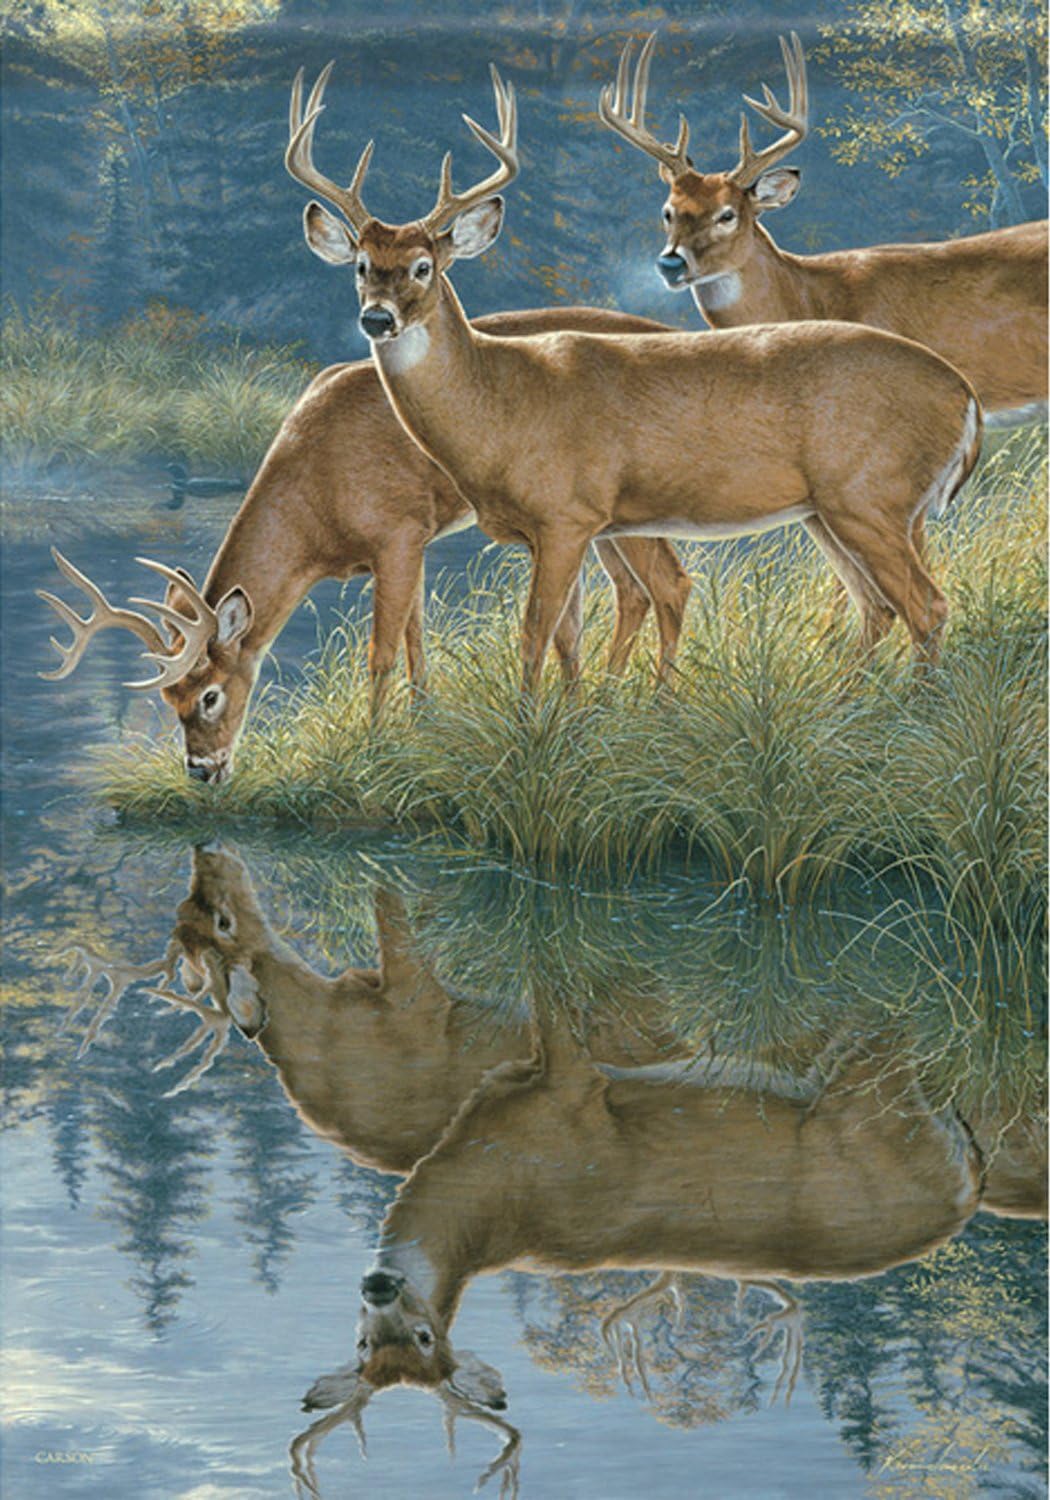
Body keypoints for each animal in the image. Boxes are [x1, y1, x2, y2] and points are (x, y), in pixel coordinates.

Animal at [37, 320, 693, 785]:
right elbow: (417, 636)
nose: (201, 772)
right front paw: (423, 724)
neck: (315, 504)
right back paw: (598, 710)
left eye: (210, 695)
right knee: (629, 595)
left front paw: (375, 746)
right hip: (595, 527)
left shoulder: (395, 532)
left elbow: (381, 651)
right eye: (168, 698)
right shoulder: (416, 539)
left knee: (669, 584)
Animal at [287, 62, 983, 696]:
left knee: (926, 604)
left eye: (424, 267)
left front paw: (530, 735)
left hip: (871, 495)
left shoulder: (567, 515)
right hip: (833, 510)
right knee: (881, 604)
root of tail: (965, 397)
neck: (501, 406)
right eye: (361, 266)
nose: (377, 318)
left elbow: (534, 634)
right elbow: (564, 634)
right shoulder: (559, 531)